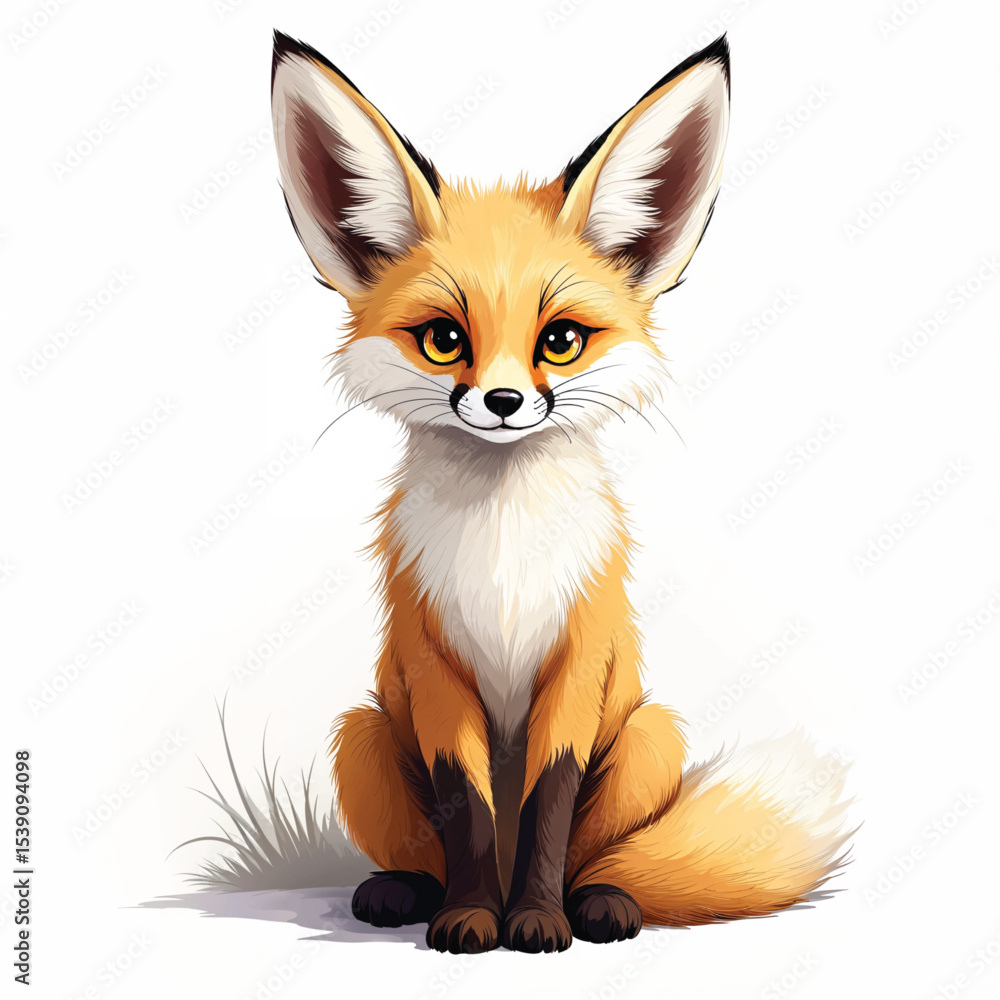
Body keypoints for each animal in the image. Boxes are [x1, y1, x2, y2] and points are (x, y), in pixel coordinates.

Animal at [270, 31, 851, 954]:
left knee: (598, 857)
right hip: (359, 734)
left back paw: (601, 901)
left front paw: (537, 922)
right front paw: (473, 918)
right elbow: (468, 806)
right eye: (445, 340)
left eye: (561, 340)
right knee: (424, 851)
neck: (505, 552)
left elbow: (550, 802)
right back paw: (405, 894)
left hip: (651, 732)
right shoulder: (434, 667)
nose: (504, 402)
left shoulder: (579, 662)